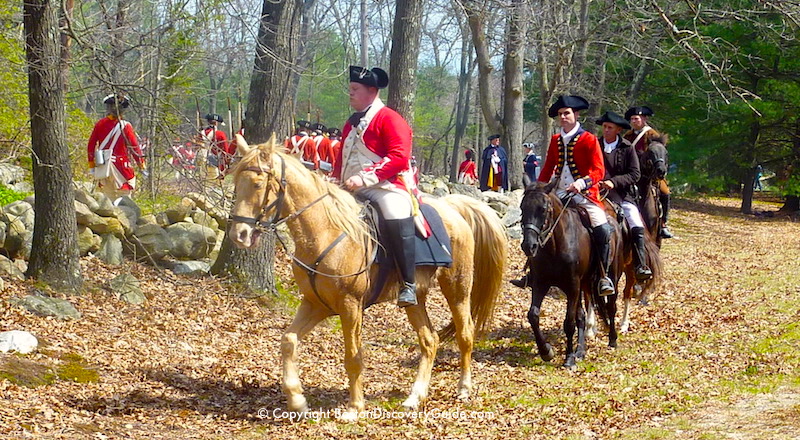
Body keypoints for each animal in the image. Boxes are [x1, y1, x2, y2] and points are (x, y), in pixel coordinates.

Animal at [227, 133, 506, 420]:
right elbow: (288, 341)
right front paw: (297, 400)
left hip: (457, 288)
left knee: (465, 334)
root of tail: (451, 207)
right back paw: (415, 396)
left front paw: (354, 407)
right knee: (430, 340)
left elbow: (353, 355)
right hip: (415, 299)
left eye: (258, 184)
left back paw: (463, 388)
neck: (324, 231)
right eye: (237, 182)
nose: (239, 234)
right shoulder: (316, 304)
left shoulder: (350, 306)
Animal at [520, 176, 624, 368]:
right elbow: (533, 315)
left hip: (611, 276)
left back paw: (612, 339)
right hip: (584, 283)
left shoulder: (572, 286)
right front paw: (546, 351)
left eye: (543, 209)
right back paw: (580, 350)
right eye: (523, 208)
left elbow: (569, 322)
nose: (528, 246)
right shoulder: (540, 283)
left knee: (611, 306)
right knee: (582, 315)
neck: (555, 245)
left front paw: (568, 358)